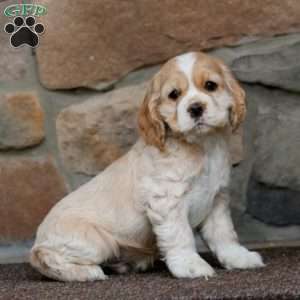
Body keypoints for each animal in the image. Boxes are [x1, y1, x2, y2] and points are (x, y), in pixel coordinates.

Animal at [30, 51, 264, 282]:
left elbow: (224, 234)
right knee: (45, 257)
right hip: (95, 241)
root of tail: (39, 236)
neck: (202, 147)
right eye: (174, 94)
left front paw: (239, 258)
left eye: (210, 85)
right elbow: (180, 236)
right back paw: (86, 272)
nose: (196, 108)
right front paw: (190, 266)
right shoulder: (167, 201)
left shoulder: (216, 199)